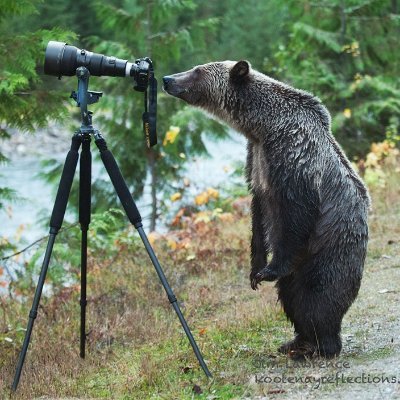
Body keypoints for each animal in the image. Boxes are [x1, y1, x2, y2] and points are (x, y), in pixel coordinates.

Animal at [162, 61, 368, 358]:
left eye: (197, 70)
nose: (167, 79)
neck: (262, 127)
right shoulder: (256, 160)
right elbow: (258, 214)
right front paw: (255, 271)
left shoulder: (293, 157)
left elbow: (296, 213)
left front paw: (267, 270)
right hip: (302, 265)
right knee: (291, 296)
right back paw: (296, 341)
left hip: (329, 248)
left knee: (318, 296)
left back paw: (320, 345)